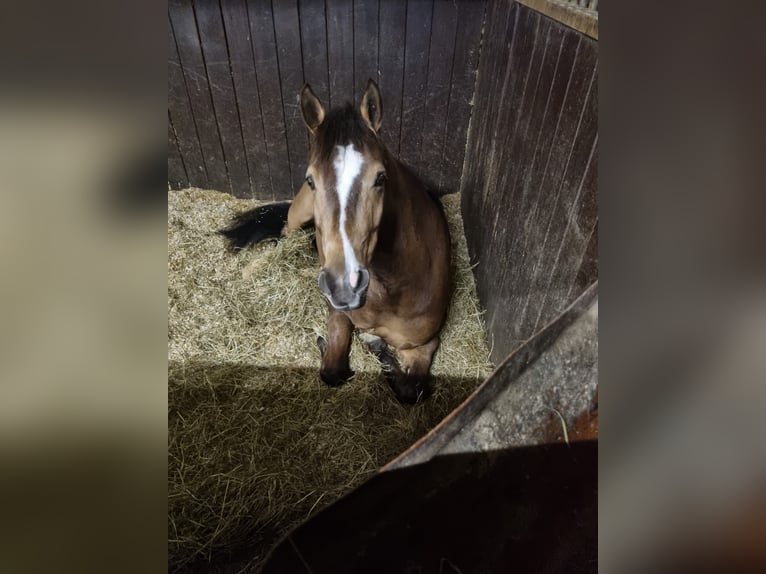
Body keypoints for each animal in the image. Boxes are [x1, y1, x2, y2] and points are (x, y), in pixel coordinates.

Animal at [220, 79, 451, 404]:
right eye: (311, 179)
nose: (344, 285)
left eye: (380, 178)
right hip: (298, 217)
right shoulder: (339, 315)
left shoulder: (423, 345)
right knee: (282, 239)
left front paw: (376, 345)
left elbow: (411, 390)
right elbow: (332, 370)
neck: (391, 290)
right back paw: (250, 271)